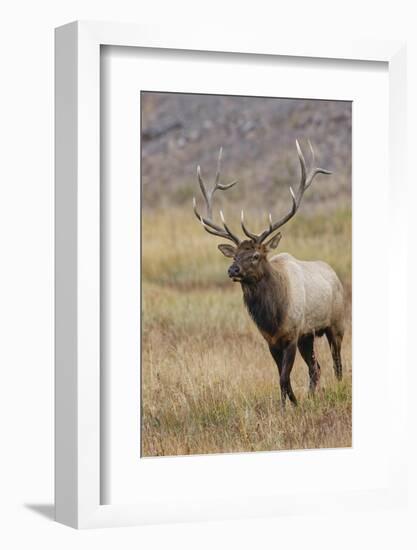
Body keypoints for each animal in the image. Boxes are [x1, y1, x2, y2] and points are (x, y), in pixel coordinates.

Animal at [193, 142, 342, 410]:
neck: (273, 317)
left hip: (337, 322)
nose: (232, 270)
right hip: (308, 336)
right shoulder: (272, 340)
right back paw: (313, 396)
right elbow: (280, 377)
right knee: (316, 368)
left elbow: (284, 376)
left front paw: (290, 407)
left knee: (336, 362)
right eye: (234, 256)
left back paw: (338, 386)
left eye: (255, 256)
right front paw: (290, 405)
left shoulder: (291, 334)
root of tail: (334, 274)